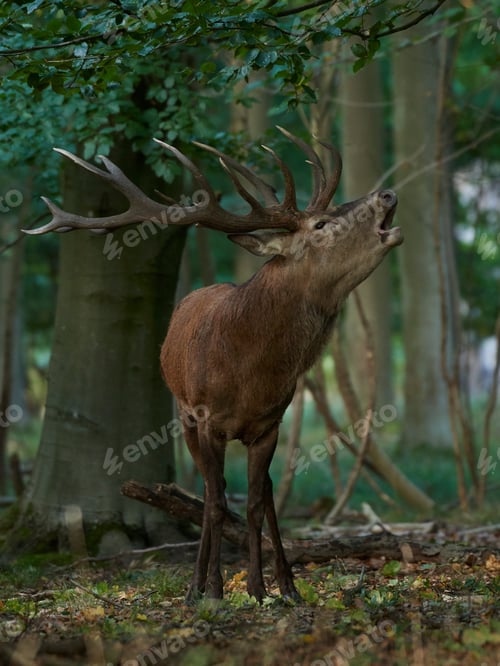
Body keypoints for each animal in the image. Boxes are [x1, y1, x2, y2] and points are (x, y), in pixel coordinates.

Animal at [27, 127, 402, 603]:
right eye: (321, 224)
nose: (387, 194)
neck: (251, 371)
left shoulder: (270, 424)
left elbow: (256, 503)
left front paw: (261, 589)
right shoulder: (207, 420)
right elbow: (217, 502)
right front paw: (215, 590)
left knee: (265, 491)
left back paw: (287, 585)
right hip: (183, 415)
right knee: (209, 492)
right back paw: (198, 585)